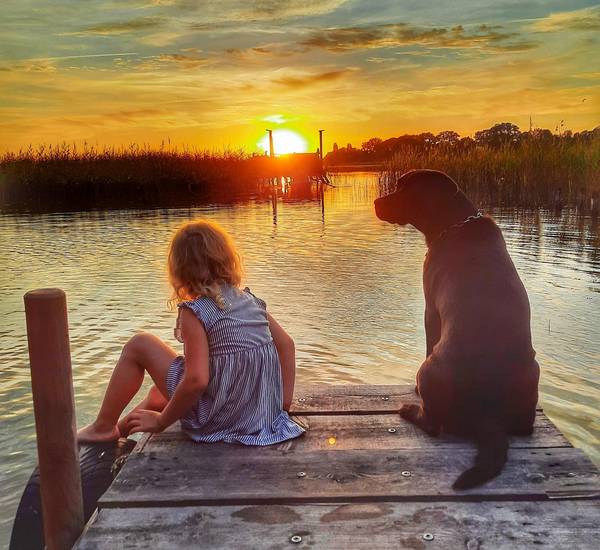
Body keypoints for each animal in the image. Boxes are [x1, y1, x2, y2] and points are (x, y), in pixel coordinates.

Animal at [376, 170, 540, 490]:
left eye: (403, 189)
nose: (376, 202)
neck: (454, 223)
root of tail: (489, 417)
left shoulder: (430, 309)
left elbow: (429, 339)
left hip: (429, 369)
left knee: (432, 424)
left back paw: (409, 410)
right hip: (533, 371)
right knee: (525, 428)